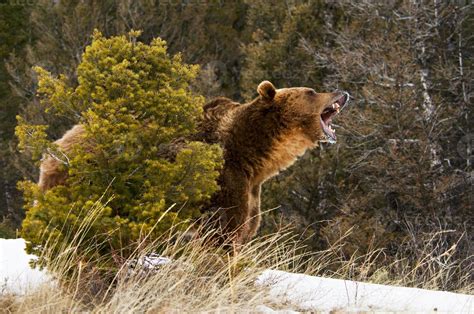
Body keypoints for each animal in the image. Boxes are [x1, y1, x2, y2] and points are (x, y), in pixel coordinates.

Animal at [39, 81, 348, 245]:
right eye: (311, 92)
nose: (342, 93)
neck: (253, 155)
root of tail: (56, 147)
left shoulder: (250, 191)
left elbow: (246, 228)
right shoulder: (223, 183)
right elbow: (223, 236)